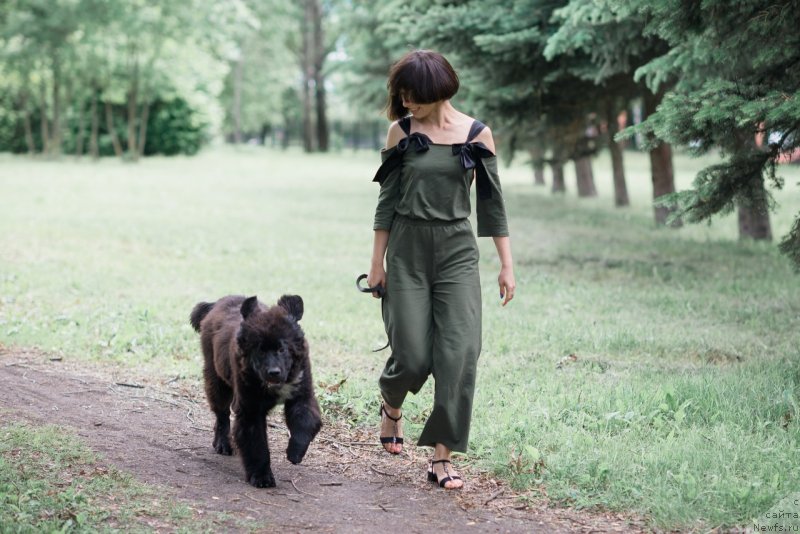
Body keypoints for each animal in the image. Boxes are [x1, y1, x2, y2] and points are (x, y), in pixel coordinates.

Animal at [189, 298, 320, 490]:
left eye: (282, 349)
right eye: (260, 350)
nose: (273, 372)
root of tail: (216, 303)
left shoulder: (302, 395)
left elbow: (304, 421)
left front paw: (295, 452)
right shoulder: (250, 409)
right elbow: (257, 444)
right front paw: (262, 477)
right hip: (216, 377)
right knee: (222, 415)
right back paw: (222, 443)